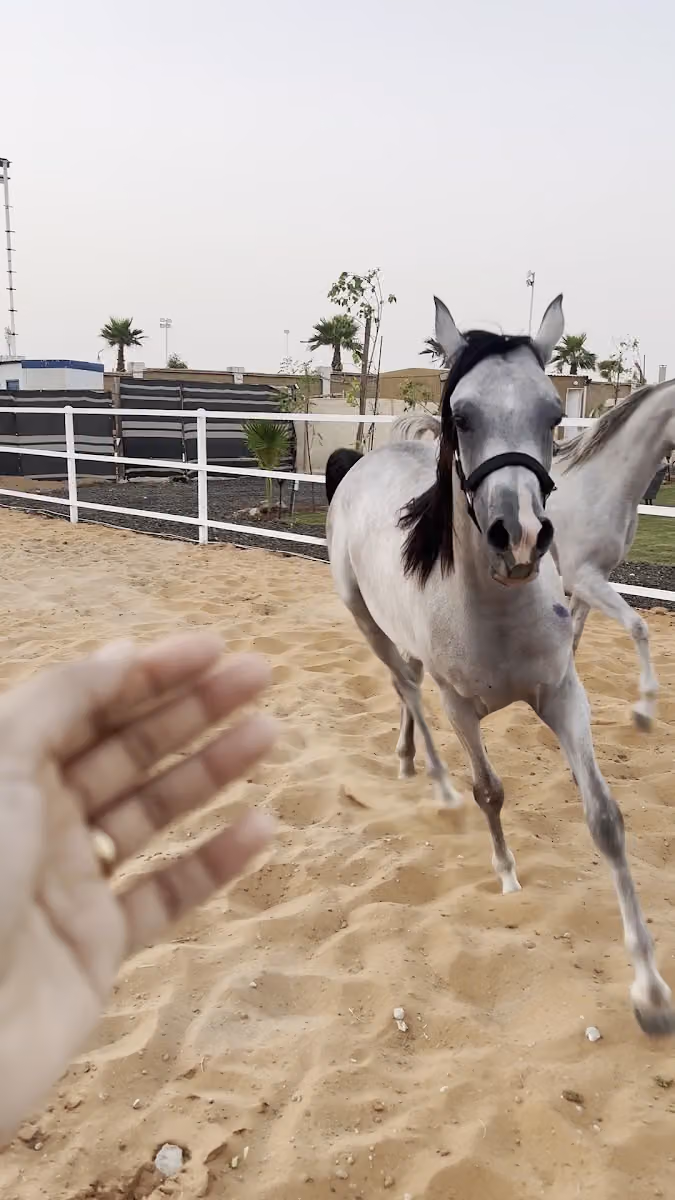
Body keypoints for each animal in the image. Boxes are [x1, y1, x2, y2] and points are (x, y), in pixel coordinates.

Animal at [325, 294, 674, 1036]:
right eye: (461, 414)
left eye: (552, 413)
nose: (519, 538)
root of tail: (364, 460)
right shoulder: (464, 704)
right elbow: (490, 791)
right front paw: (508, 874)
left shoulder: (563, 690)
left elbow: (605, 818)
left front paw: (650, 991)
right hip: (364, 619)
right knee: (405, 687)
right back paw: (431, 780)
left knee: (406, 686)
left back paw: (405, 758)